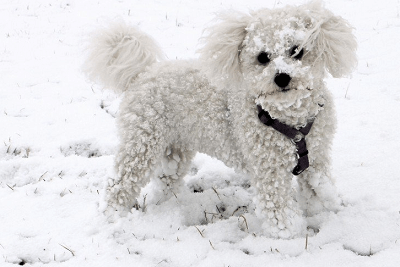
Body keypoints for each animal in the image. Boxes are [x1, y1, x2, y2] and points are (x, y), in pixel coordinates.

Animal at [83, 0, 356, 239]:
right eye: (262, 57)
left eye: (297, 51)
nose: (282, 77)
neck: (290, 119)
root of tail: (143, 72)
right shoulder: (269, 171)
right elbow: (278, 208)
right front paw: (290, 236)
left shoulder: (317, 158)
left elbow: (317, 189)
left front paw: (322, 213)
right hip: (141, 144)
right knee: (119, 184)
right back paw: (112, 215)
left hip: (175, 148)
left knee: (165, 181)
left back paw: (168, 208)